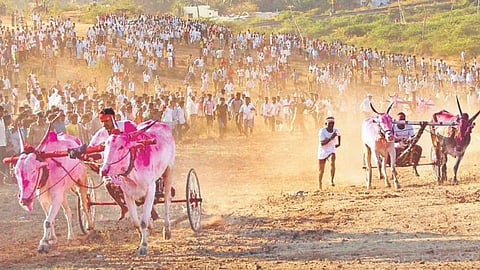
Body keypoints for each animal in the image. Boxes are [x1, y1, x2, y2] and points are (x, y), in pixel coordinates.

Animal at [100, 120, 175, 255]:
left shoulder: (151, 189)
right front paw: (141, 237)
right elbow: (135, 221)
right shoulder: (127, 194)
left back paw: (167, 231)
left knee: (167, 201)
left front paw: (144, 245)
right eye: (105, 147)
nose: (104, 170)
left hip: (168, 171)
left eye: (121, 147)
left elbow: (143, 221)